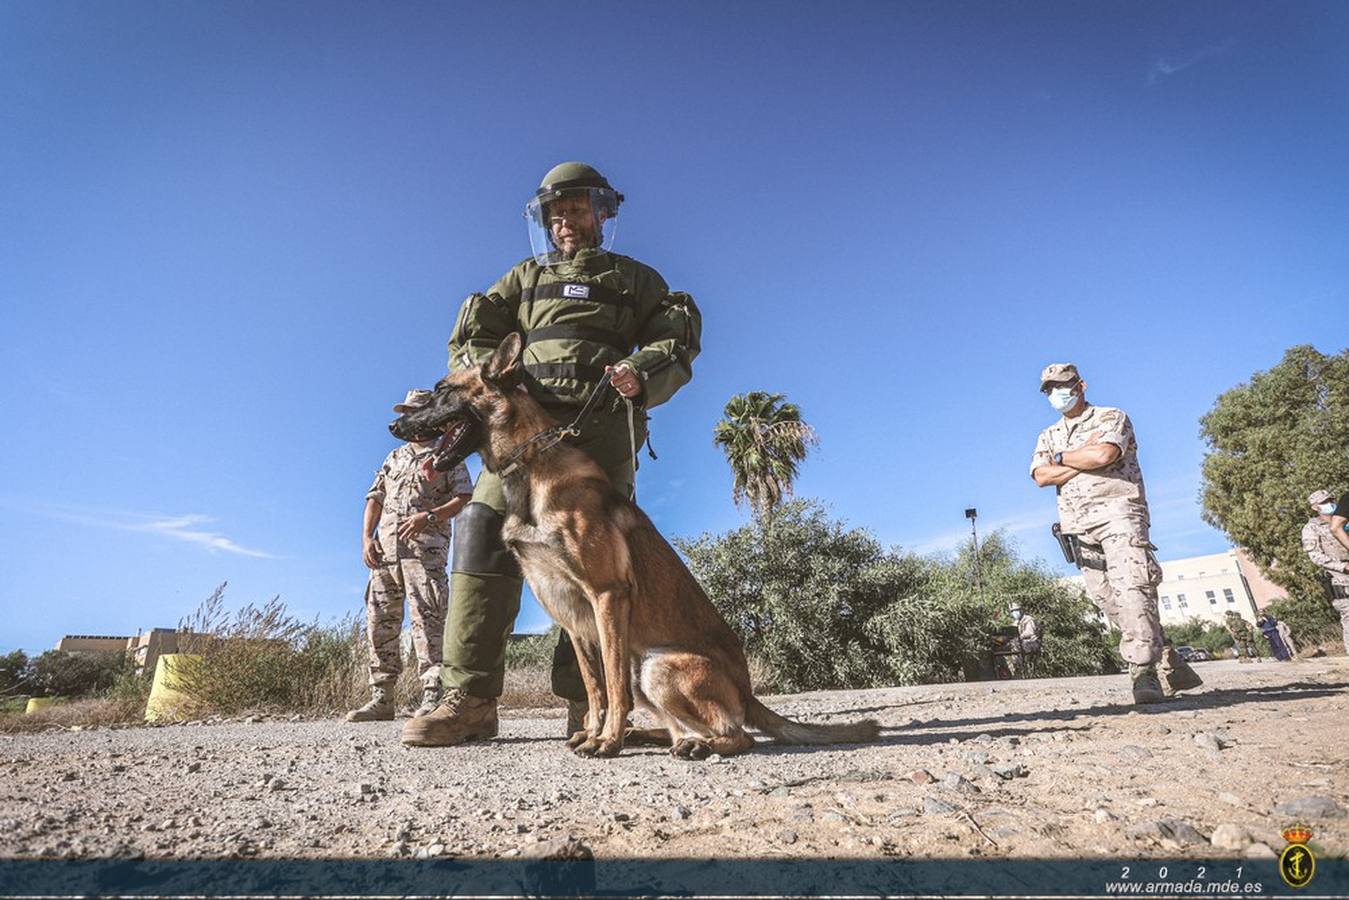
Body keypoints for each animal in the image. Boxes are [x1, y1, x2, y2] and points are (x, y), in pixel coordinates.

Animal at [388, 333, 884, 761]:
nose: (394, 423)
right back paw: (660, 737)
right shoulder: (573, 615)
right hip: (642, 665)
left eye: (441, 390)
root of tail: (748, 691)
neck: (532, 465)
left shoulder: (606, 596)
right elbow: (593, 688)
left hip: (655, 666)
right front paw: (593, 732)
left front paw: (605, 742)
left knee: (737, 734)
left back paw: (685, 744)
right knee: (680, 726)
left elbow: (610, 686)